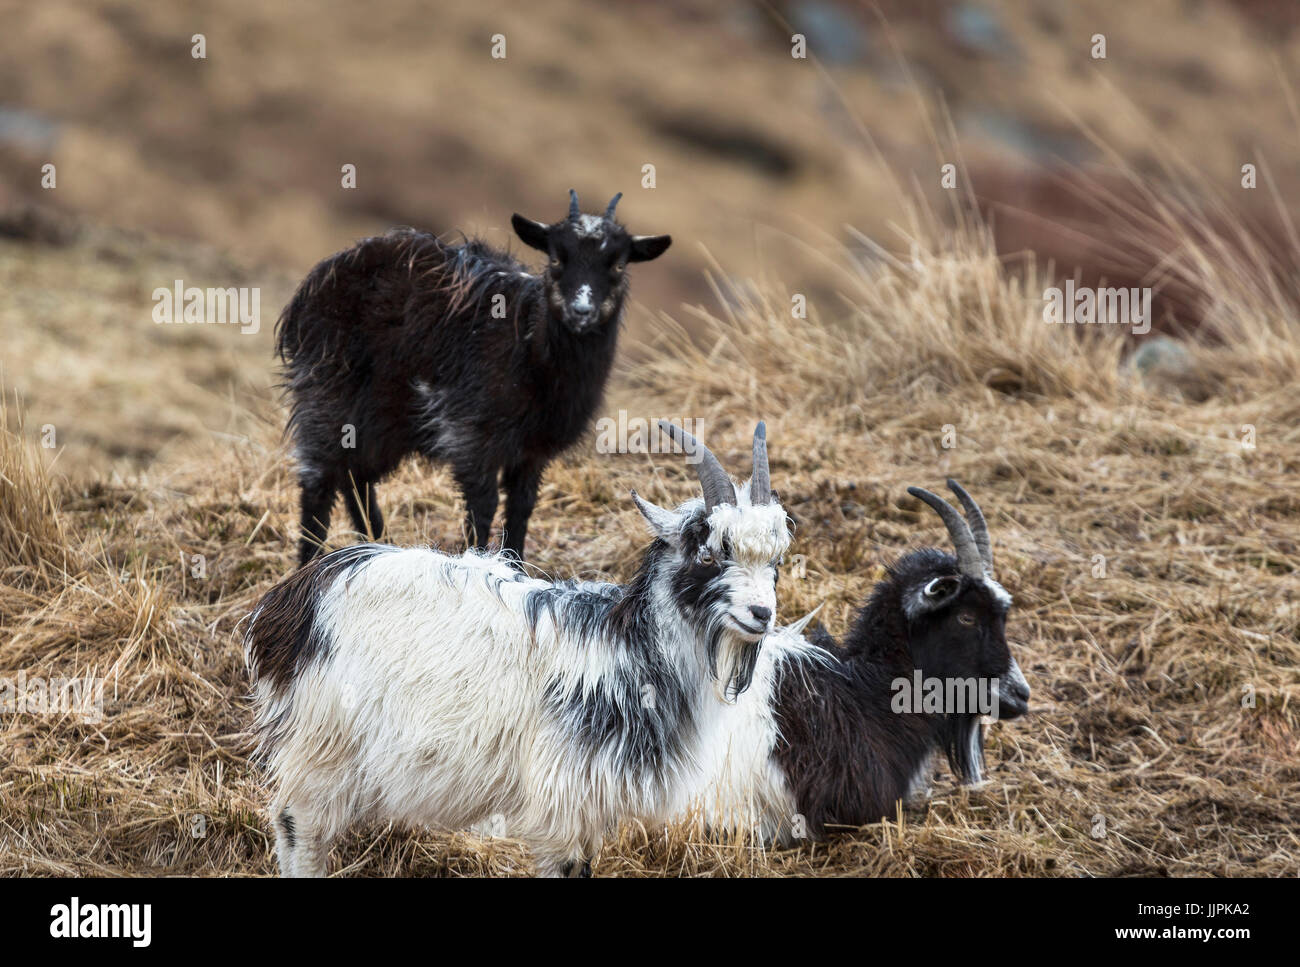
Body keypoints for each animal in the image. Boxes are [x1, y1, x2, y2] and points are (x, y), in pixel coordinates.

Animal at [244, 423, 790, 878]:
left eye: (777, 560)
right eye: (709, 554)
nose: (762, 613)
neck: (629, 652)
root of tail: (288, 600)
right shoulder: (561, 803)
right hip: (324, 742)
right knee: (297, 826)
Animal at [280, 189, 676, 566]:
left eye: (619, 264)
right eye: (555, 258)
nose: (581, 311)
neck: (531, 350)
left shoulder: (532, 451)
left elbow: (521, 508)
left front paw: (517, 567)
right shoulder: (471, 435)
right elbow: (483, 508)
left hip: (384, 421)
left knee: (357, 477)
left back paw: (375, 545)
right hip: (328, 392)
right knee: (318, 480)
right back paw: (309, 562)